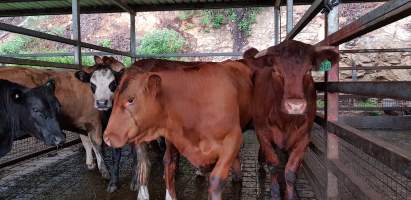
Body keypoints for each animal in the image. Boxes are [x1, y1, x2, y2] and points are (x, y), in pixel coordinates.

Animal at [103, 60, 253, 200]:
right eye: (114, 98)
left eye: (131, 99)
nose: (107, 137)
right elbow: (169, 163)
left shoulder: (234, 138)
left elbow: (216, 179)